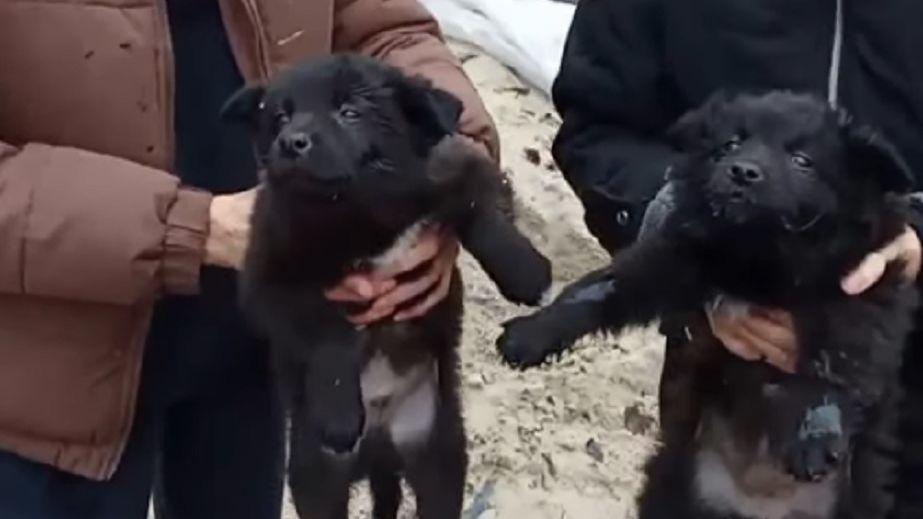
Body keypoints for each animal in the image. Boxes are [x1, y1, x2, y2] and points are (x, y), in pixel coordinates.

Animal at [224, 54, 552, 516]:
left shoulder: (458, 164)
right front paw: (339, 413)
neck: (357, 217)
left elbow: (481, 211)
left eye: (350, 112)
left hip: (439, 456)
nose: (290, 142)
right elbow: (327, 331)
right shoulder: (269, 274)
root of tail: (381, 446)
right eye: (280, 117)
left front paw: (526, 273)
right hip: (316, 476)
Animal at [498, 92, 916, 519]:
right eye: (730, 144)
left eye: (802, 160)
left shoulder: (860, 292)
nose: (743, 171)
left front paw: (816, 432)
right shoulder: (674, 259)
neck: (761, 261)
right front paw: (533, 332)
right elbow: (600, 288)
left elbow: (835, 359)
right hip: (672, 486)